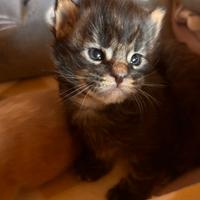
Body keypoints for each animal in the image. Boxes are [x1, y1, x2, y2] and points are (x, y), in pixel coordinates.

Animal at [52, 0, 175, 199]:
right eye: (96, 55)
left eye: (136, 59)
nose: (120, 75)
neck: (103, 109)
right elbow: (101, 149)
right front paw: (96, 164)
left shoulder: (153, 140)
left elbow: (143, 170)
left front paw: (128, 193)